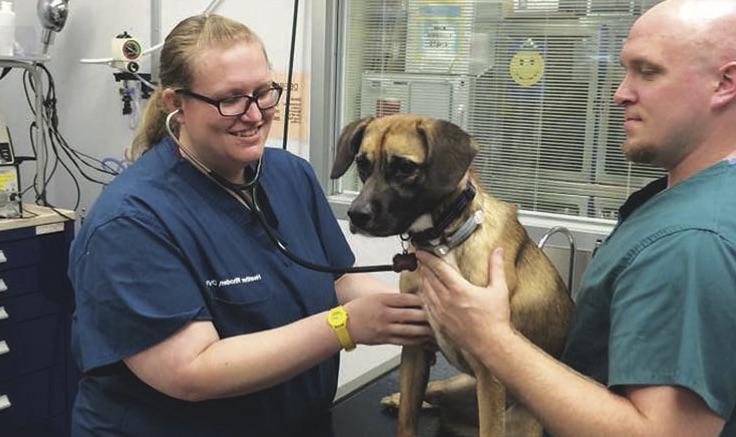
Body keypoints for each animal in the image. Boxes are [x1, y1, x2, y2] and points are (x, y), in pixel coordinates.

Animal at [330, 114, 576, 434]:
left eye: (405, 167)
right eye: (362, 163)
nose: (357, 215)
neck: (443, 241)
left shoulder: (489, 374)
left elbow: (490, 428)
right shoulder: (415, 346)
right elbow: (406, 420)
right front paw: (402, 404)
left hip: (521, 417)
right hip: (454, 385)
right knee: (433, 392)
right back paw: (398, 399)